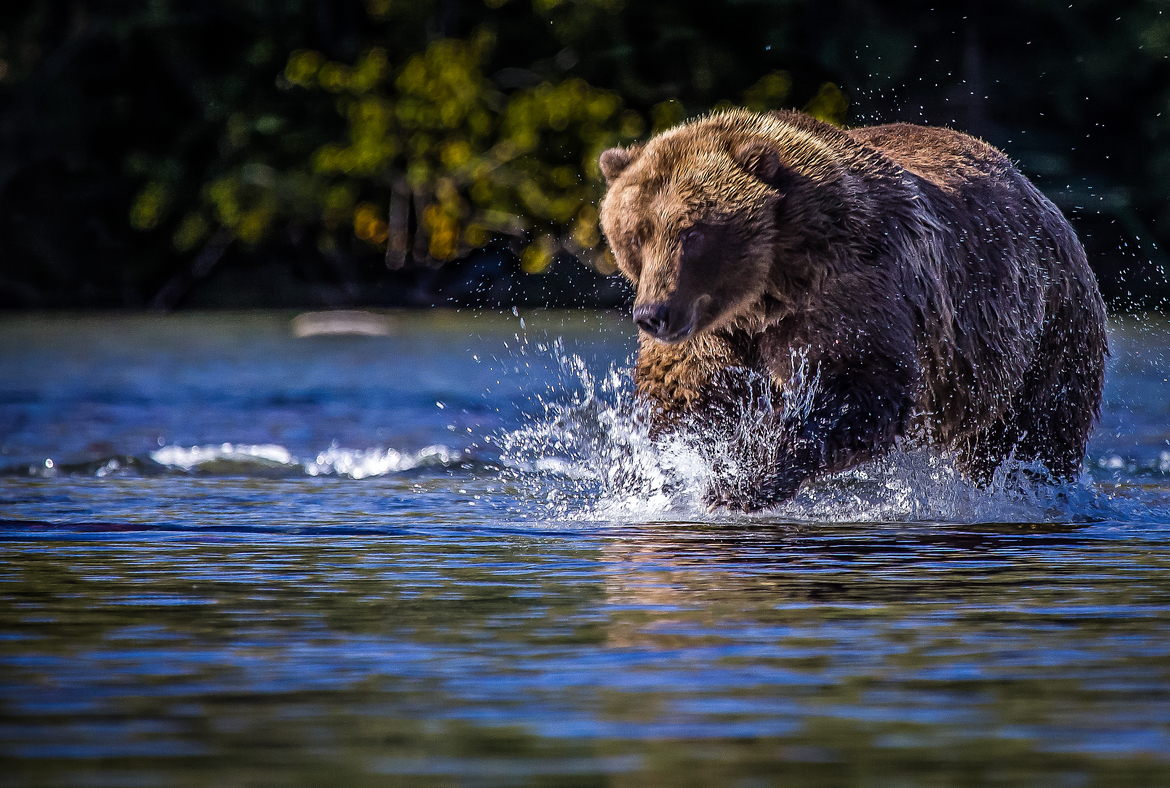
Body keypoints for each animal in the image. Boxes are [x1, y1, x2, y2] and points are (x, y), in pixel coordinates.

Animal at [597, 108, 1107, 512]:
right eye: (635, 232)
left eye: (693, 232)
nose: (653, 313)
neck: (768, 289)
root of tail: (1038, 193)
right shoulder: (715, 332)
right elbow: (684, 396)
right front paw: (685, 468)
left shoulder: (853, 289)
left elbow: (860, 386)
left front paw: (741, 482)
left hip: (1044, 332)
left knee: (1032, 436)